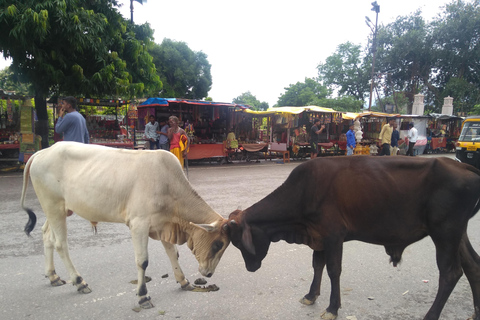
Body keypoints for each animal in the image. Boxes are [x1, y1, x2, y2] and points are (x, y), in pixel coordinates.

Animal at [21, 141, 232, 308]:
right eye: (218, 244)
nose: (209, 273)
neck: (169, 185)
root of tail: (42, 152)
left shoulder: (163, 224)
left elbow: (173, 253)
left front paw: (183, 281)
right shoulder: (139, 224)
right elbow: (142, 261)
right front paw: (143, 296)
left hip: (59, 209)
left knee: (47, 236)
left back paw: (53, 276)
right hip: (53, 206)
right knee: (60, 244)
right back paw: (79, 281)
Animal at [225, 157, 480, 320]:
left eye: (238, 242)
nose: (250, 267)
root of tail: (461, 165)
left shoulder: (333, 235)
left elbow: (333, 270)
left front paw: (332, 308)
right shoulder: (318, 236)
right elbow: (317, 265)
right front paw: (310, 295)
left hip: (445, 232)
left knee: (450, 273)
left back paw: (431, 315)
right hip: (457, 234)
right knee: (472, 266)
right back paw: (476, 312)